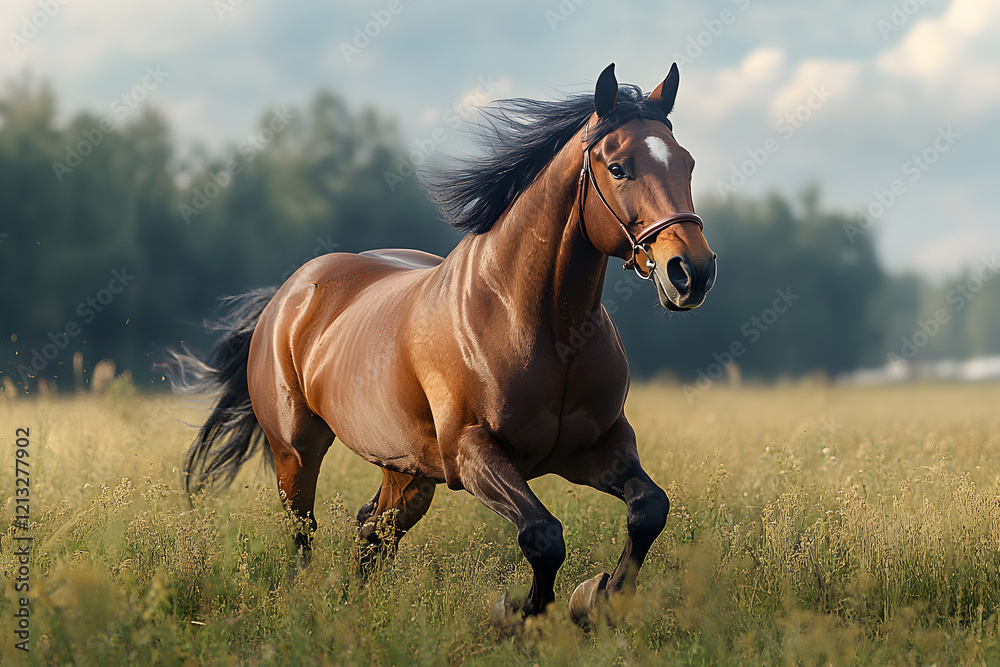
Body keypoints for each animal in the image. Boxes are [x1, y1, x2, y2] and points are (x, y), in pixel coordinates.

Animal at [170, 62, 717, 628]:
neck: (542, 326)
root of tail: (286, 296)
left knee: (373, 530)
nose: (691, 272)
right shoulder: (474, 455)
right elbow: (543, 536)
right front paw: (519, 615)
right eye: (618, 168)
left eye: (687, 164)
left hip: (407, 471)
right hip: (296, 453)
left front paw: (601, 599)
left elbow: (648, 509)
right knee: (306, 533)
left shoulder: (597, 446)